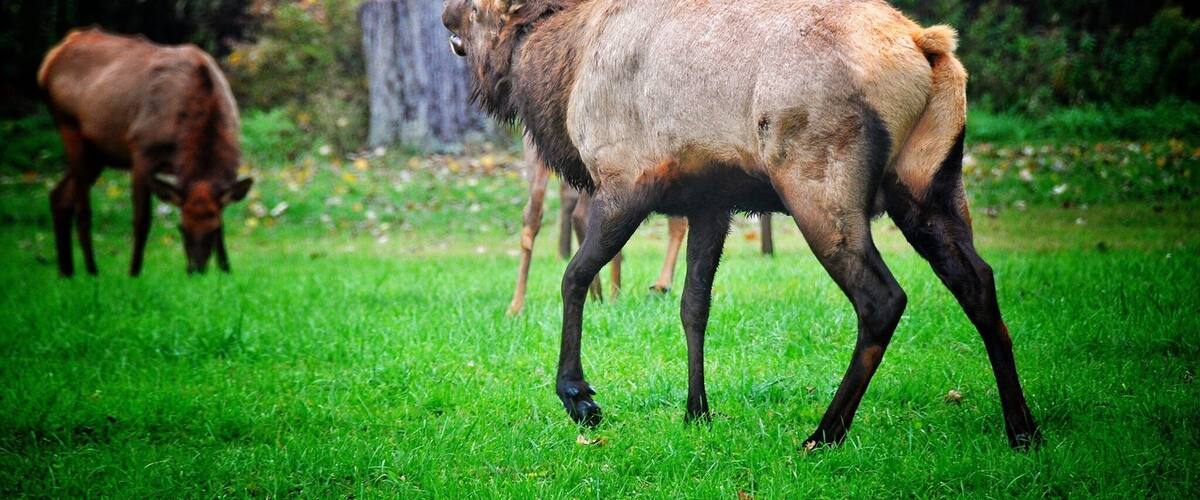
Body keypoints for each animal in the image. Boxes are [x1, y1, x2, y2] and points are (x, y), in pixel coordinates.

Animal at [38, 28, 253, 277]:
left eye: (214, 229)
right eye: (181, 227)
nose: (196, 270)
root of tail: (50, 61)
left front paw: (226, 270)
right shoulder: (142, 151)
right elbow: (142, 220)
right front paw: (134, 273)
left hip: (99, 153)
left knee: (60, 197)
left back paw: (66, 272)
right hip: (70, 128)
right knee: (82, 209)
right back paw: (91, 271)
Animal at [443, 0, 1041, 449]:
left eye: (477, 7)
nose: (446, 14)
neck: (561, 73)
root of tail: (929, 46)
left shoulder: (626, 178)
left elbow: (573, 277)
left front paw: (579, 396)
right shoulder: (710, 201)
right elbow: (693, 306)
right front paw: (697, 411)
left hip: (818, 182)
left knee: (882, 298)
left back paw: (824, 433)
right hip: (930, 185)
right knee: (977, 280)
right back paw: (1022, 428)